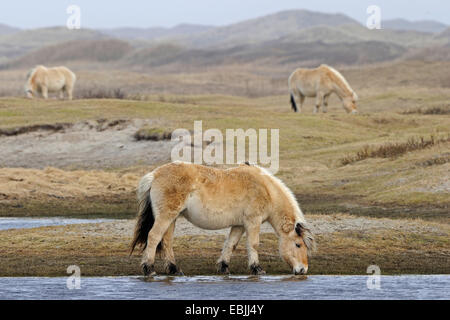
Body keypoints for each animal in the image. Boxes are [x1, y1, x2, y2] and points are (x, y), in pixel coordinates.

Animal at [128, 161, 314, 276]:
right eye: (298, 244)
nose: (303, 270)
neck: (266, 189)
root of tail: (155, 174)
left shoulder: (239, 225)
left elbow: (231, 244)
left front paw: (224, 267)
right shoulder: (252, 222)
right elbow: (253, 244)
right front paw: (257, 268)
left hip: (171, 218)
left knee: (166, 241)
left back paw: (174, 269)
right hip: (166, 217)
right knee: (154, 237)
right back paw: (149, 269)